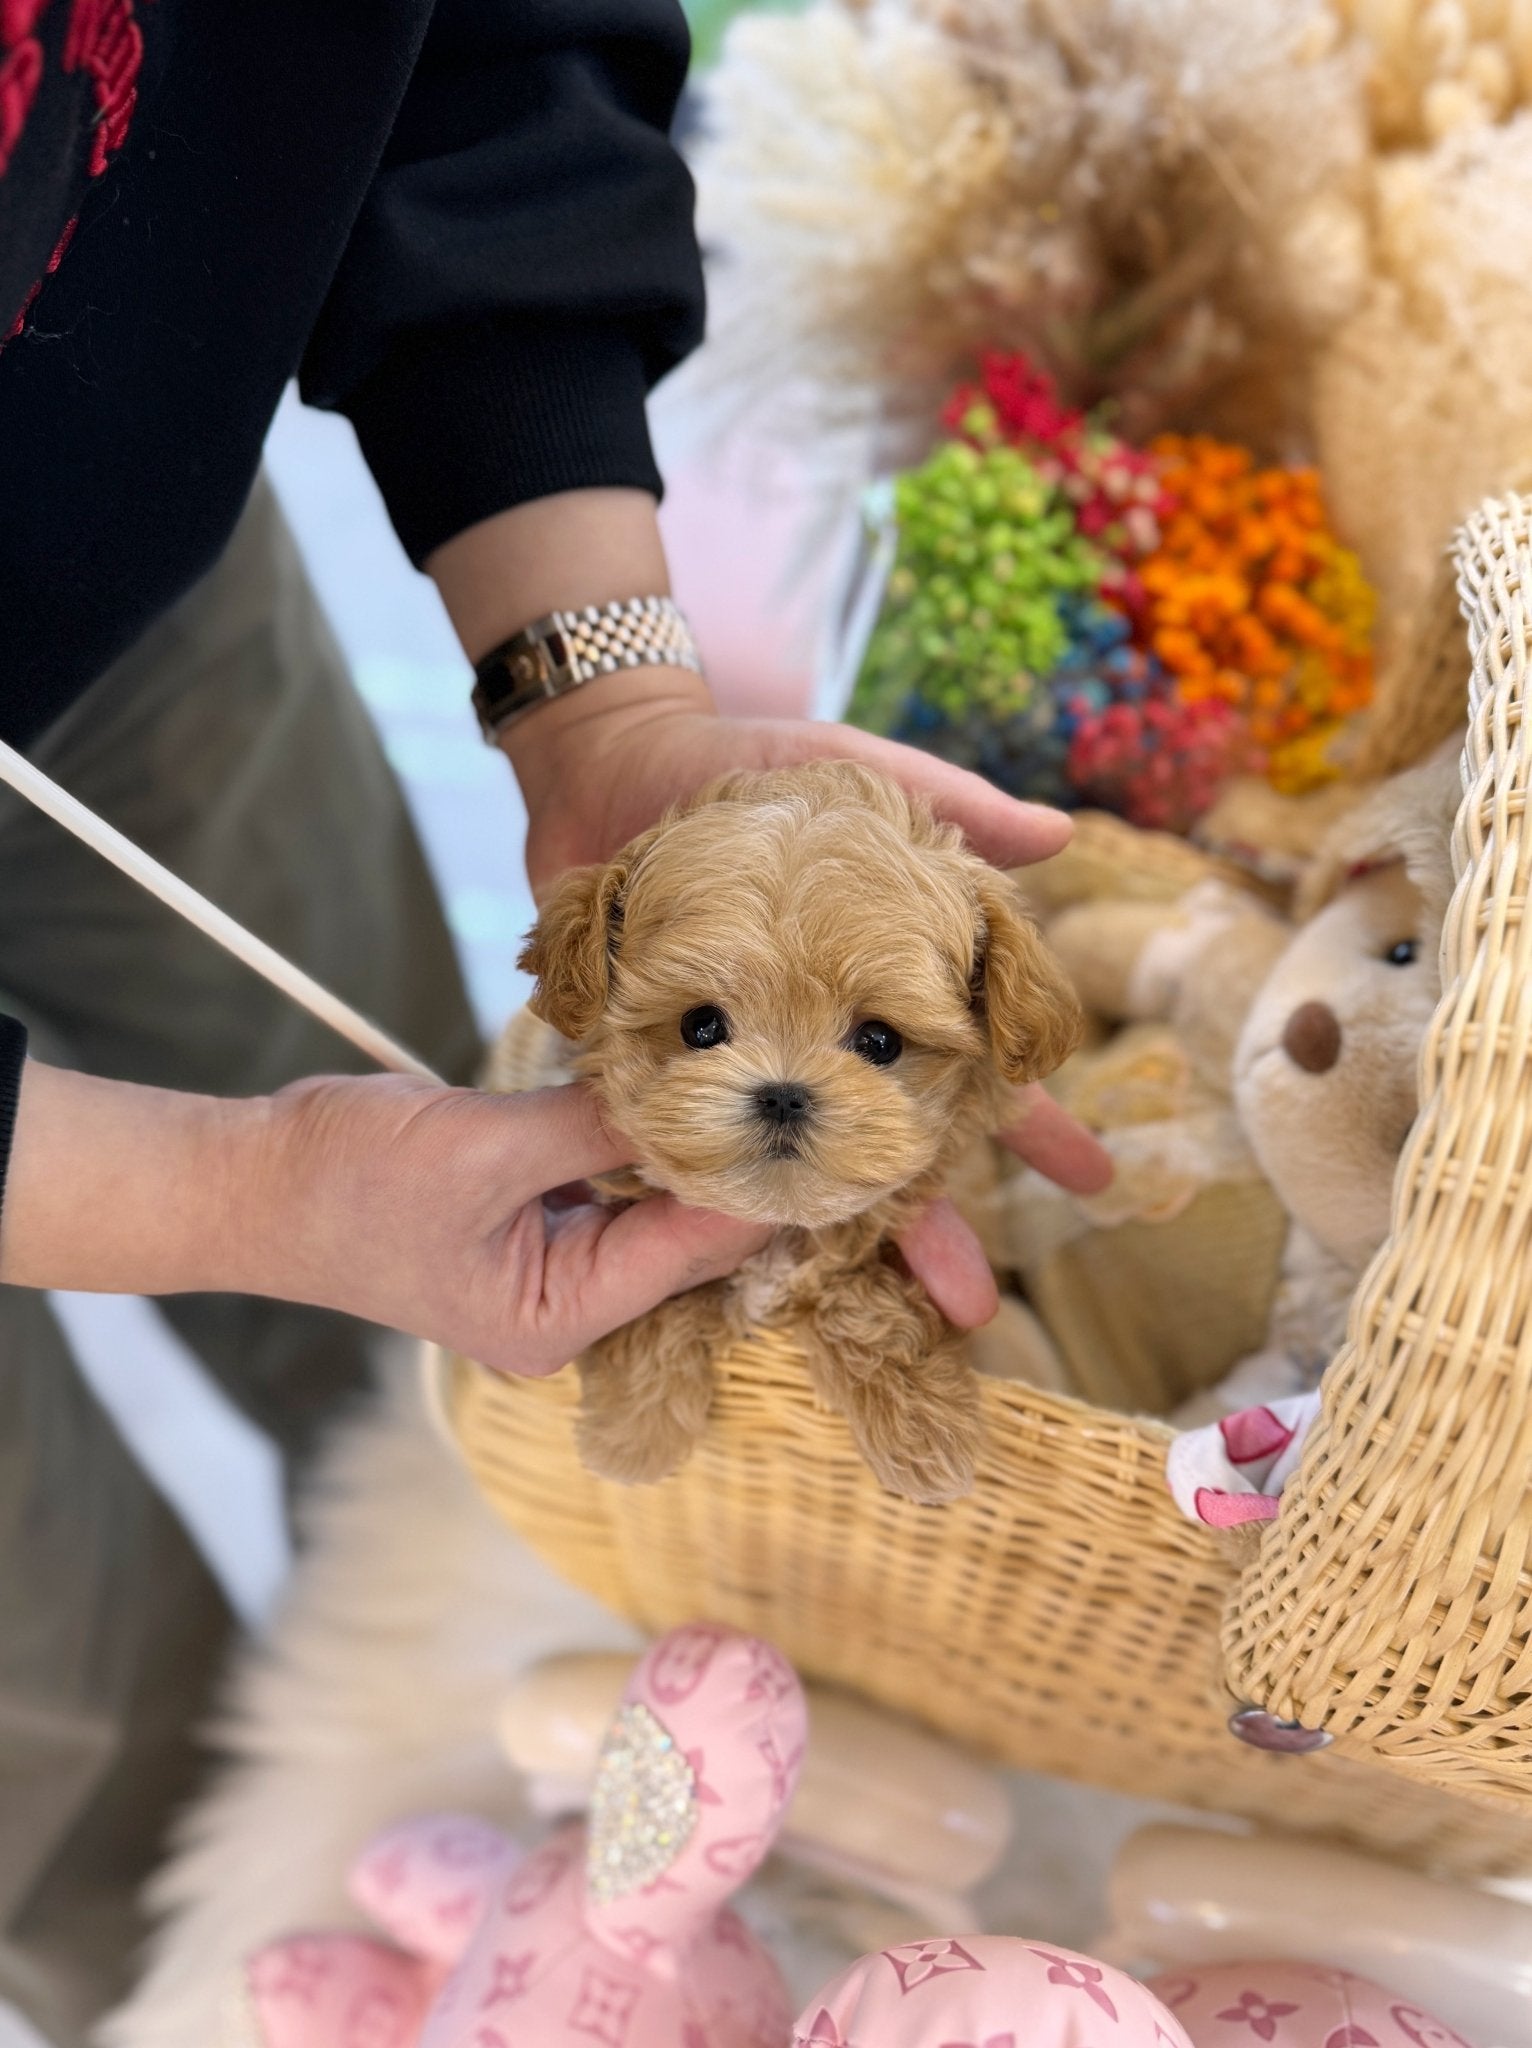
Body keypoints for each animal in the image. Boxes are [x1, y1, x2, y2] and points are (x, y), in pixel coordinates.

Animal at [520, 761, 1081, 1499]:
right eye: (701, 1026)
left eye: (878, 1041)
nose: (784, 1096)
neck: (778, 1223)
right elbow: (652, 1311)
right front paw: (634, 1433)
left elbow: (864, 1300)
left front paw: (925, 1433)